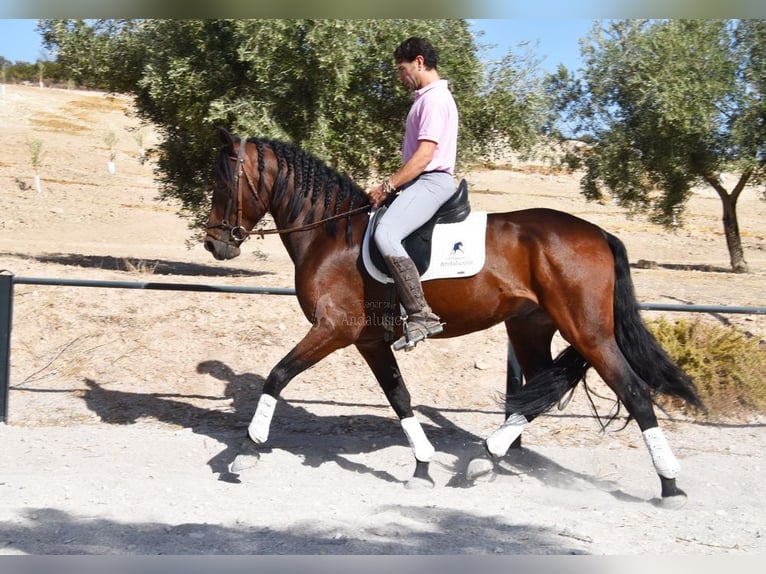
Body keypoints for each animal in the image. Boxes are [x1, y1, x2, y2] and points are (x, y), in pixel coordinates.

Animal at [203, 127, 702, 505]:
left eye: (224, 185)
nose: (214, 244)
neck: (330, 233)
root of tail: (598, 232)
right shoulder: (369, 341)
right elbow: (400, 397)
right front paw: (422, 467)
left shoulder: (333, 329)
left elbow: (277, 375)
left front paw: (246, 450)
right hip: (530, 327)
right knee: (541, 392)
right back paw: (486, 457)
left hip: (589, 332)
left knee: (634, 392)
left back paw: (671, 485)